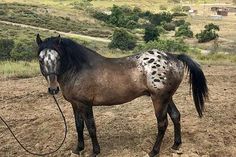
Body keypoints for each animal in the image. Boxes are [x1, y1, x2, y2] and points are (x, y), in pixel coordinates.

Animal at [36, 34, 207, 157]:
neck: (79, 69)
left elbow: (91, 127)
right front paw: (78, 149)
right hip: (167, 98)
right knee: (176, 116)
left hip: (159, 99)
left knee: (162, 123)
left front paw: (95, 151)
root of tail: (174, 57)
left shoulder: (86, 105)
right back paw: (176, 145)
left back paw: (154, 151)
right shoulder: (75, 104)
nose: (53, 89)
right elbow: (79, 126)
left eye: (58, 58)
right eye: (40, 59)